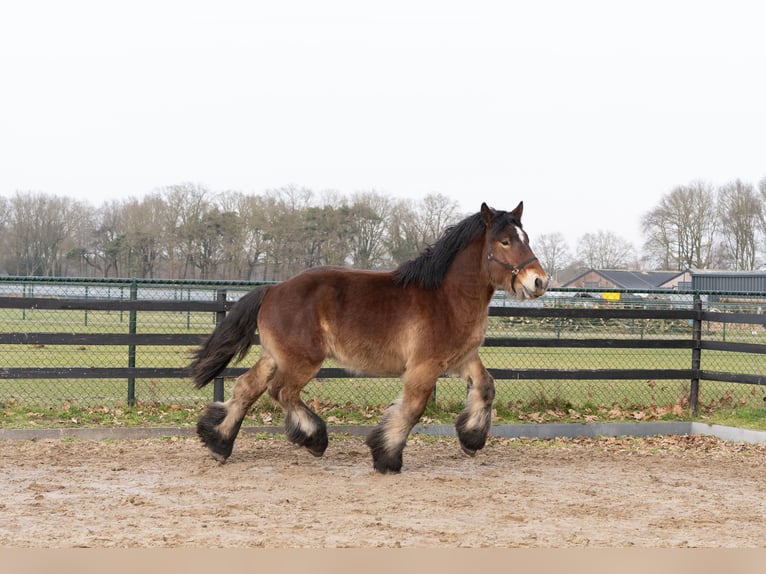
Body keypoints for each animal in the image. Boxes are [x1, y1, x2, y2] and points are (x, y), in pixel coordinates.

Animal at [190, 201, 548, 473]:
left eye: (525, 237)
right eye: (505, 241)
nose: (539, 281)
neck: (447, 297)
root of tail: (273, 289)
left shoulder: (461, 358)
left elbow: (485, 387)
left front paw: (472, 441)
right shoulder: (425, 365)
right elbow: (413, 408)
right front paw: (387, 457)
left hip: (276, 356)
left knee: (247, 388)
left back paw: (219, 443)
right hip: (303, 360)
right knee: (282, 392)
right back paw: (314, 440)